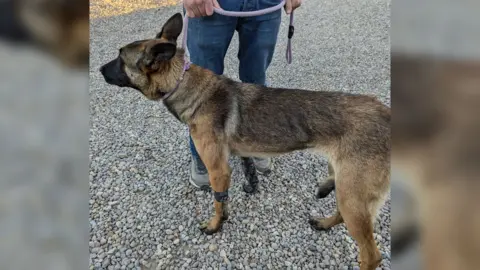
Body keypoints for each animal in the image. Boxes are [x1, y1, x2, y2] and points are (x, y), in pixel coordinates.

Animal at [99, 13, 388, 268]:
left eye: (120, 57)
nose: (99, 69)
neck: (183, 82)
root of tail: (386, 113)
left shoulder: (218, 169)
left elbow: (218, 201)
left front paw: (215, 225)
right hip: (347, 189)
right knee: (344, 216)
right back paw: (324, 222)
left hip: (352, 194)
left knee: (372, 255)